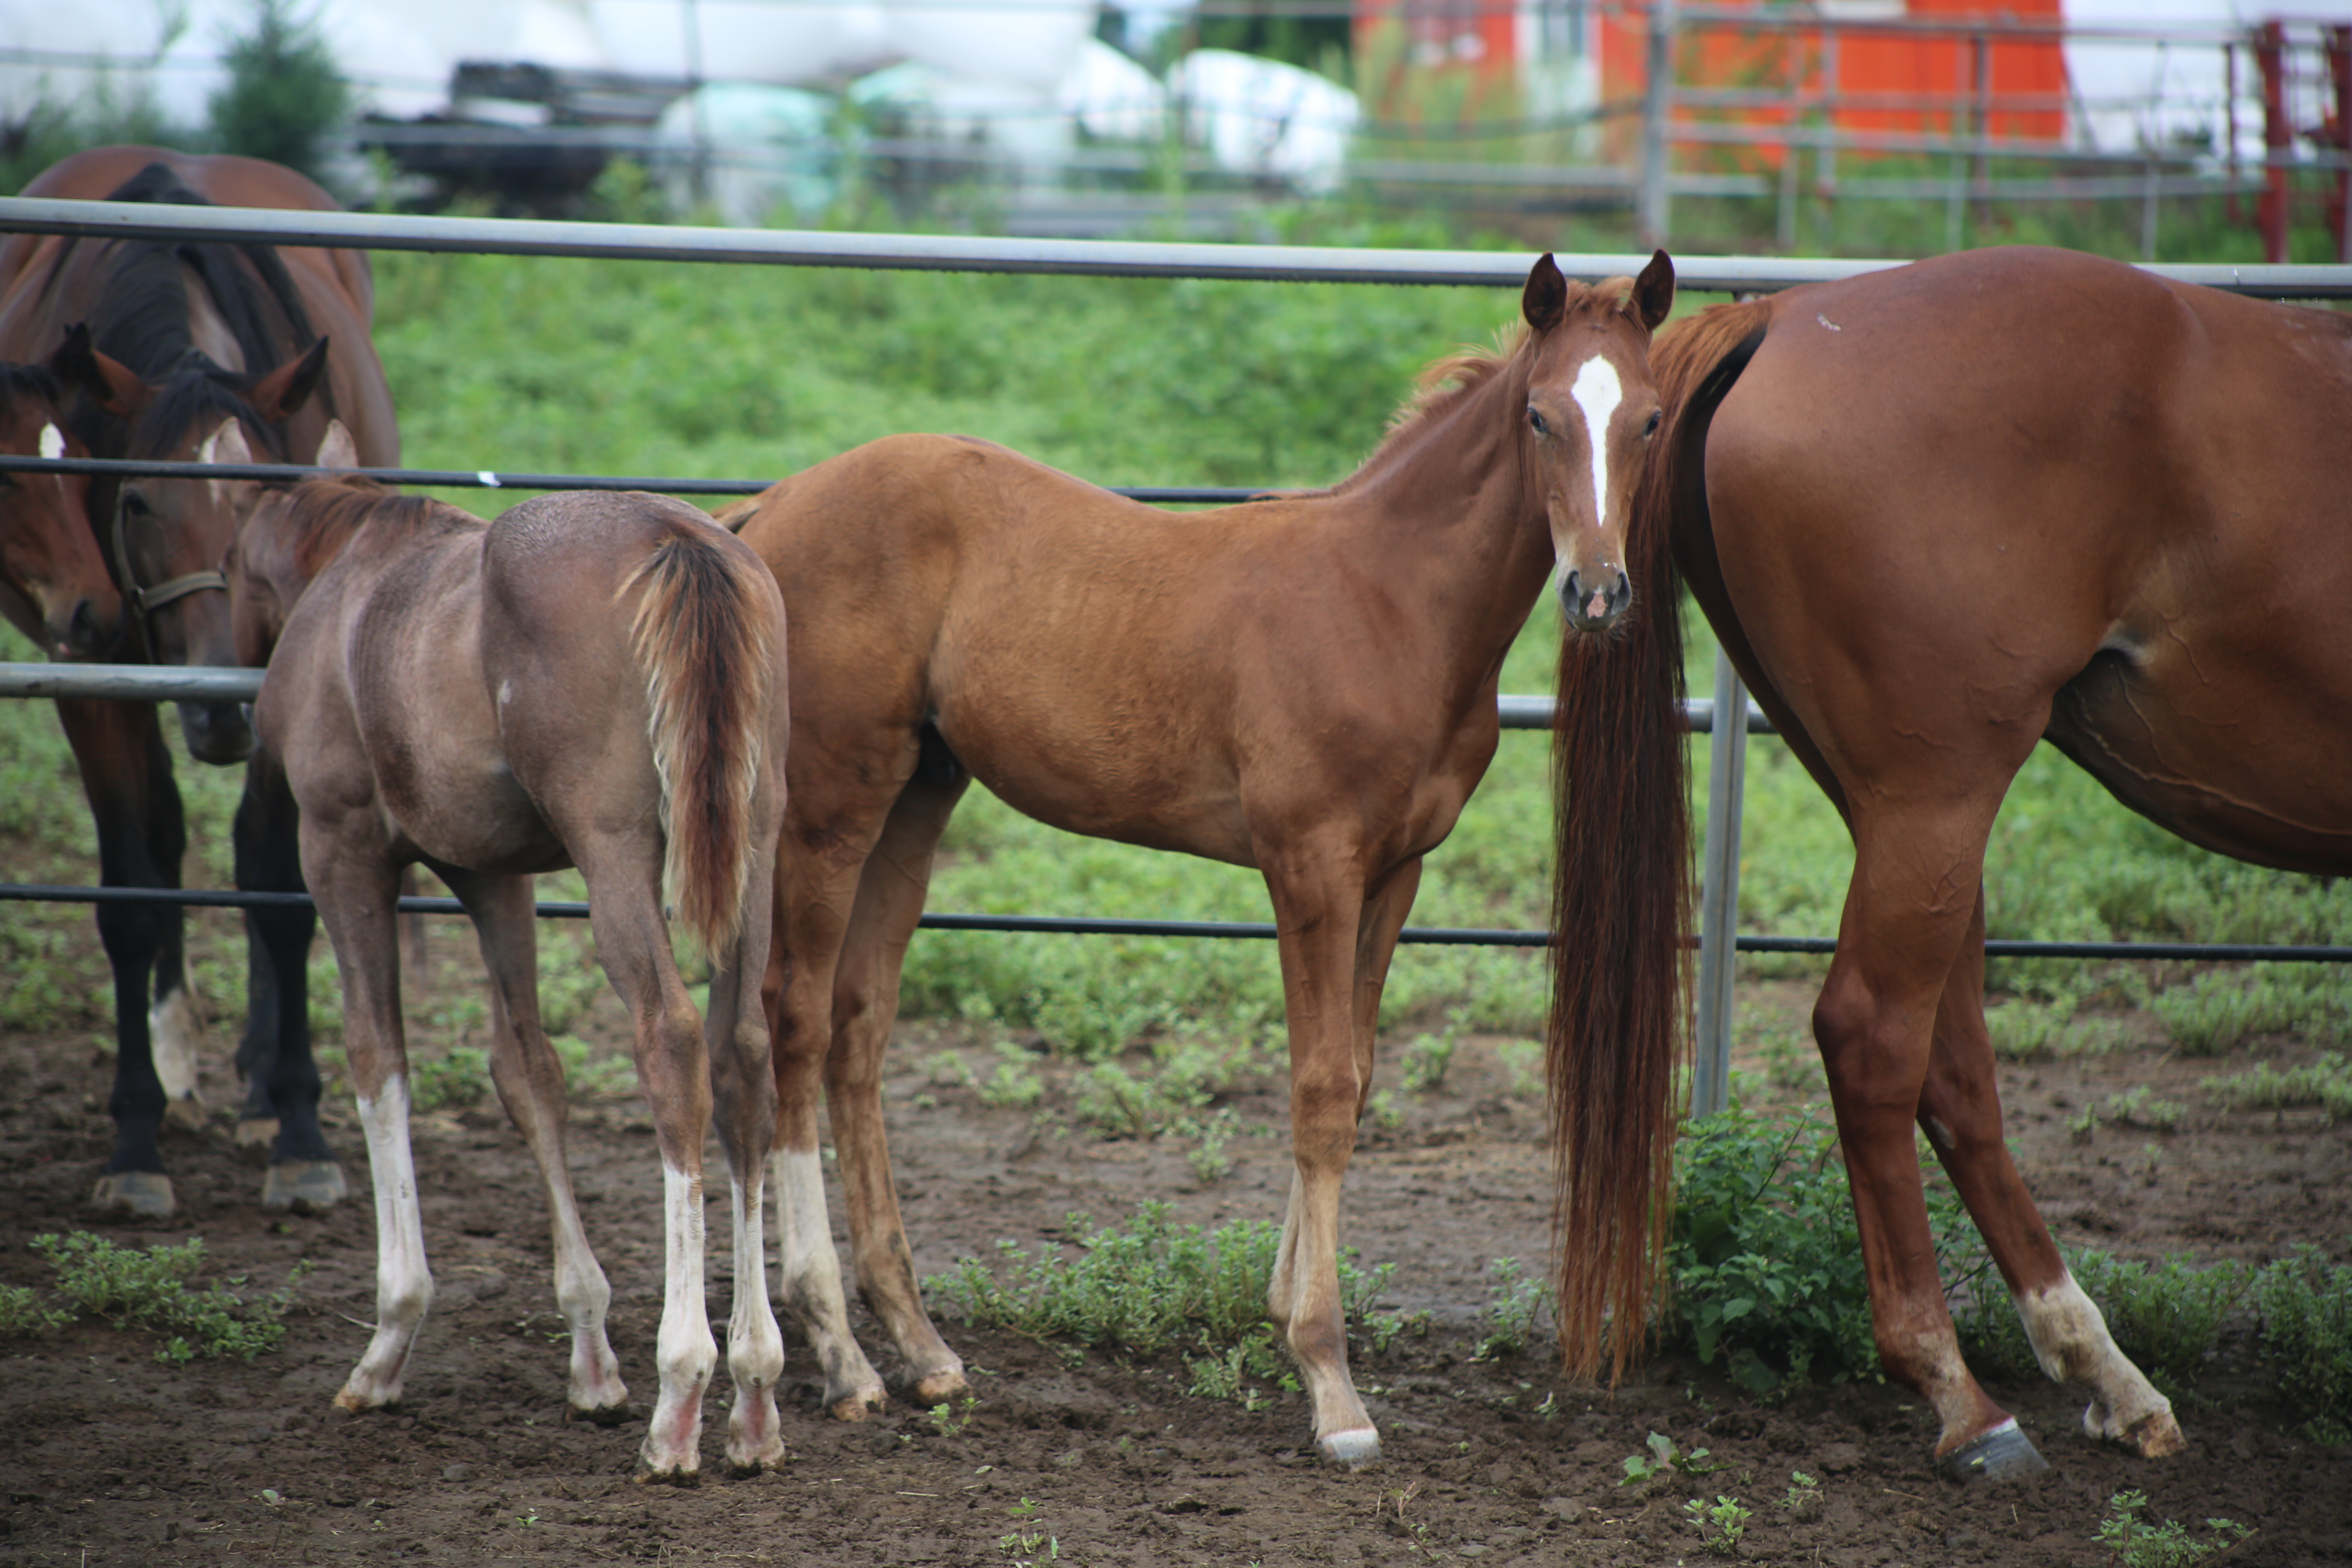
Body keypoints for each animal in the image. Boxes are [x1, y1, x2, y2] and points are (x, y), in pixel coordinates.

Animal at [0, 147, 400, 1222]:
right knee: (166, 834)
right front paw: (135, 1143)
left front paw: (298, 1130)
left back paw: (259, 1084)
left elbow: (275, 883)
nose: (220, 706)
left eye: (279, 499)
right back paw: (177, 1059)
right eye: (138, 499)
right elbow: (133, 893)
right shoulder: (90, 668)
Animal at [234, 465, 795, 1486]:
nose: (209, 726)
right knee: (743, 1059)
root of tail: (681, 540)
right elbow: (528, 1073)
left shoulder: (340, 850)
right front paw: (591, 1357)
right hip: (754, 850)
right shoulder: (494, 877)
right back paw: (754, 1393)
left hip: (614, 853)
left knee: (671, 1044)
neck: (350, 579)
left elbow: (378, 1060)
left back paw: (684, 1392)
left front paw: (389, 1340)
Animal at [729, 252, 1675, 1467]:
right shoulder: (1309, 863)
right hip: (830, 808)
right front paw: (1330, 1383)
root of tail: (775, 503)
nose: (1597, 595)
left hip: (918, 800)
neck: (1388, 602)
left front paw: (1287, 1318)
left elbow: (1356, 1080)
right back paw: (840, 1357)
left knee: (859, 1030)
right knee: (796, 1027)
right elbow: (1318, 1088)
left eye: (1647, 418)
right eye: (1540, 416)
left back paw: (922, 1349)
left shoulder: (1395, 873)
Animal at [1543, 245, 2352, 1486]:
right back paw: (1964, 1398)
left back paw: (2101, 1371)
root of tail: (1782, 315)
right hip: (1939, 792)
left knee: (1950, 1057)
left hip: (1897, 804)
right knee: (1875, 1035)